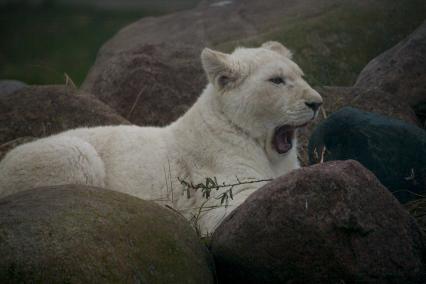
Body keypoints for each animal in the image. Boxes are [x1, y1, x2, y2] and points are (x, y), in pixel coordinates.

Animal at [0, 41, 322, 233]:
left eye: (301, 75)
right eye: (276, 80)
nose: (316, 103)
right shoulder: (214, 183)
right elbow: (232, 207)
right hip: (64, 153)